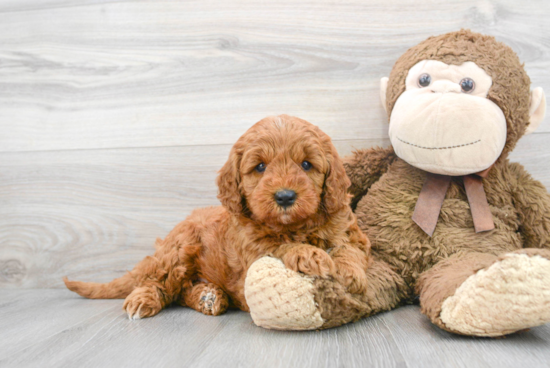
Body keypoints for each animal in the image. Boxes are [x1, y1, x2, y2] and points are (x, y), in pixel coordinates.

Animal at [64, 115, 370, 320]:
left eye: (306, 164)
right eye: (260, 167)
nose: (284, 197)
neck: (294, 226)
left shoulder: (349, 229)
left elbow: (350, 248)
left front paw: (351, 273)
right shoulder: (250, 253)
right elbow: (277, 245)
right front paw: (308, 254)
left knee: (180, 292)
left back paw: (208, 297)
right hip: (179, 250)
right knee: (159, 282)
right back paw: (143, 299)